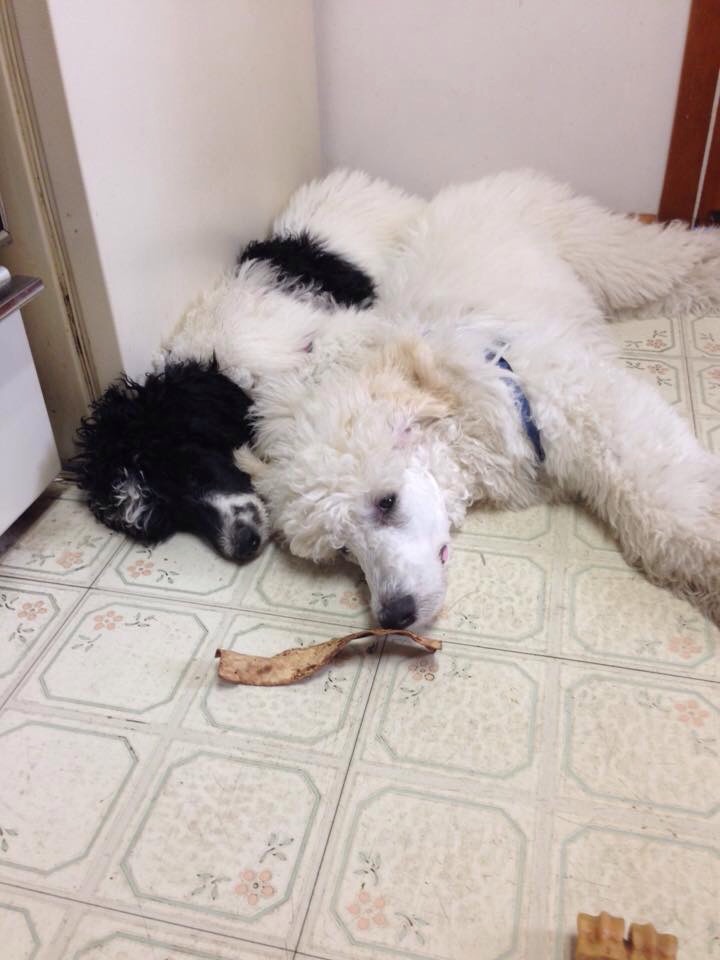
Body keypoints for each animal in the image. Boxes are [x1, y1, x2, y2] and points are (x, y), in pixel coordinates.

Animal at [222, 169, 720, 631]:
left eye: (386, 502)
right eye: (343, 548)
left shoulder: (597, 411)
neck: (465, 409)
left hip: (608, 255)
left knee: (677, 252)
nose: (393, 615)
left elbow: (673, 508)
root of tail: (485, 180)